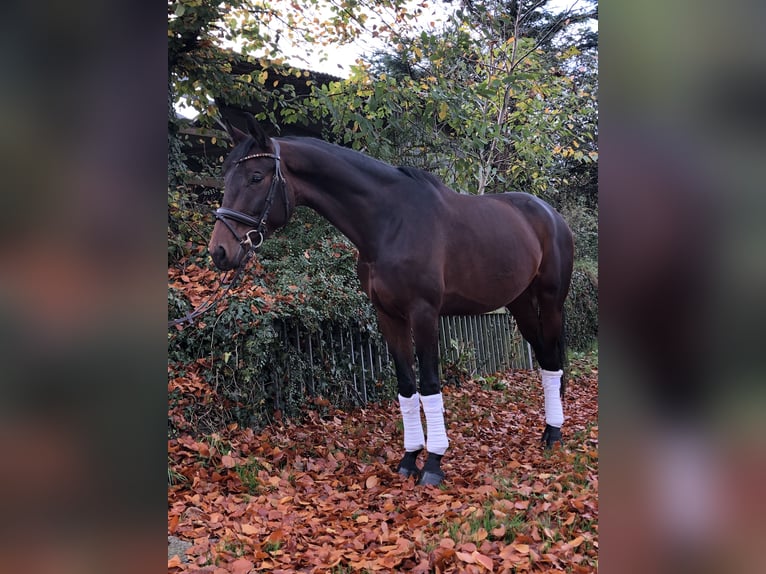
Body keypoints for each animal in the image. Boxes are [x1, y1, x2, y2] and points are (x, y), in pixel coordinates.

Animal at [207, 116, 572, 486]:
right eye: (225, 174)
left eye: (255, 177)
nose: (219, 251)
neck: (390, 222)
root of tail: (550, 214)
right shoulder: (387, 316)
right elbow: (407, 388)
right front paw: (409, 459)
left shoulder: (424, 313)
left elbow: (429, 384)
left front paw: (434, 463)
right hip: (520, 303)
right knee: (545, 357)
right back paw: (547, 430)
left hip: (551, 300)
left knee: (553, 358)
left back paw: (553, 434)